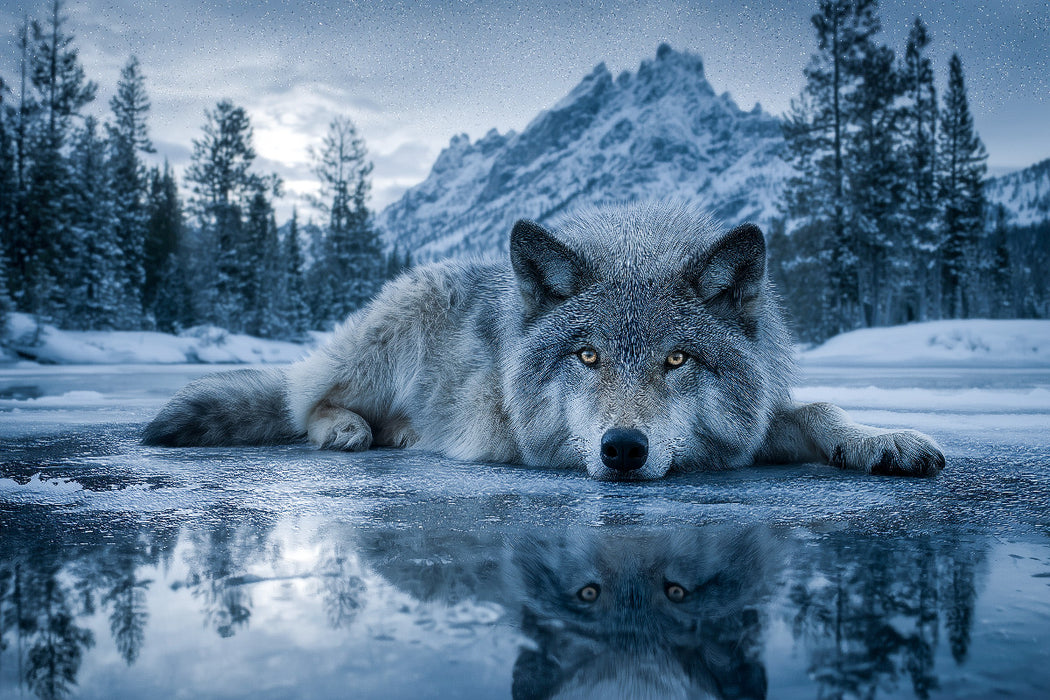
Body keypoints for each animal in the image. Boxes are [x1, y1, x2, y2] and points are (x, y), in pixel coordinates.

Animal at [143, 202, 945, 480]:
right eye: (586, 356)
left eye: (677, 360)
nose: (623, 449)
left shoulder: (746, 429)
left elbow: (818, 411)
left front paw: (883, 440)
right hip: (382, 344)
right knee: (305, 397)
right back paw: (347, 428)